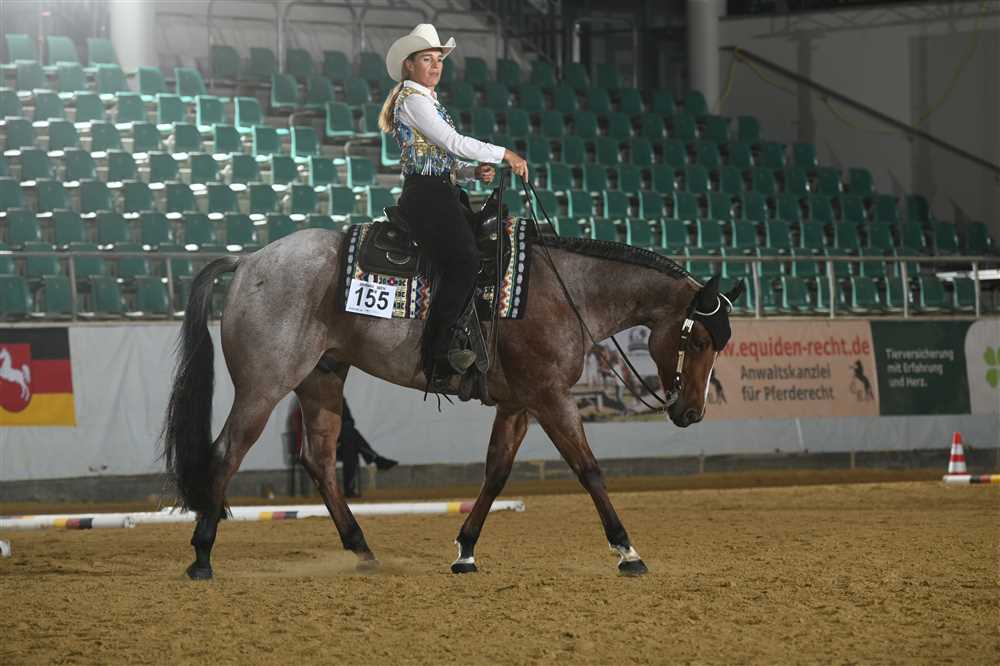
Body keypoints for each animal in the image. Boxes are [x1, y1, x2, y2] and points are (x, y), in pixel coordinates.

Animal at [162, 227, 742, 580]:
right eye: (698, 339)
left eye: (721, 344)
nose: (691, 413)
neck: (565, 291)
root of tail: (249, 260)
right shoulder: (551, 397)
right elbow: (589, 469)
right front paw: (627, 550)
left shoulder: (519, 404)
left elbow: (496, 472)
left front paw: (465, 551)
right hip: (264, 386)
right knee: (226, 453)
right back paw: (202, 557)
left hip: (320, 380)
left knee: (319, 460)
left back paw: (362, 548)